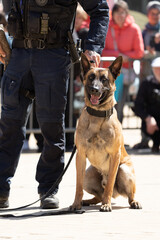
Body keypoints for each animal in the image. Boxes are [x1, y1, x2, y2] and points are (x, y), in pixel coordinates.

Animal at [70, 54, 142, 212]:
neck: (97, 116)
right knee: (98, 195)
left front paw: (106, 205)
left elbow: (109, 184)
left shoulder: (115, 155)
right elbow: (78, 185)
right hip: (89, 173)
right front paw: (76, 204)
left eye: (104, 79)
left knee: (128, 194)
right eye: (91, 77)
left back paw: (133, 202)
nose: (95, 90)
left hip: (125, 170)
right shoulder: (80, 155)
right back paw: (87, 201)